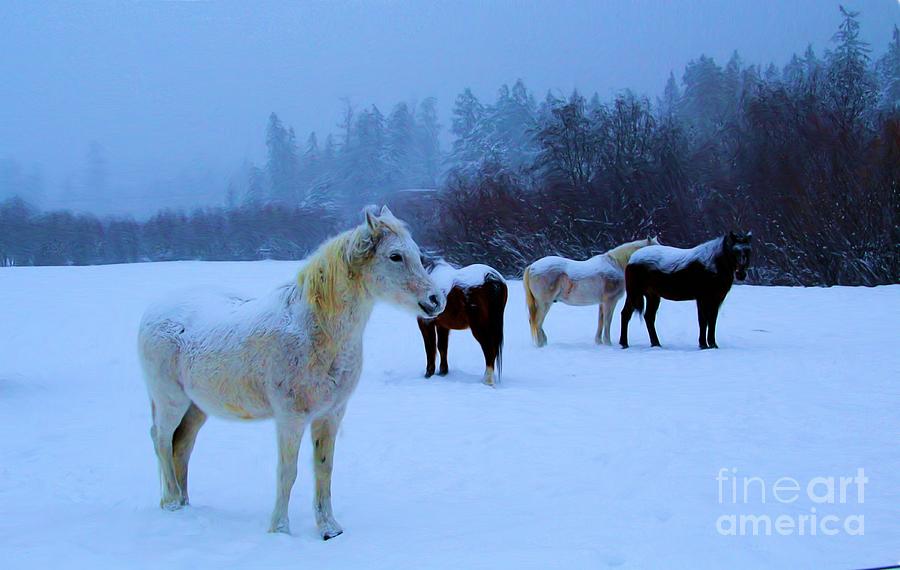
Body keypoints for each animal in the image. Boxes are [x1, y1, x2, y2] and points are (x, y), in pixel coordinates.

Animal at [139, 205, 444, 536]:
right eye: (395, 256)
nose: (435, 300)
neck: (313, 331)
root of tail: (155, 311)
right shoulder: (290, 418)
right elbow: (288, 472)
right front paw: (280, 529)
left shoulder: (330, 415)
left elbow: (324, 469)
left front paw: (329, 528)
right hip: (171, 400)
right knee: (161, 439)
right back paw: (172, 502)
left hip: (197, 407)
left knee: (181, 446)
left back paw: (184, 502)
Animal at [520, 236, 660, 346]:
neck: (616, 265)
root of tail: (532, 267)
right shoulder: (610, 301)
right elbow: (607, 321)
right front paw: (608, 343)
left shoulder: (602, 303)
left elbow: (601, 321)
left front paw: (599, 342)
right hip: (545, 304)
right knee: (537, 322)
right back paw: (541, 344)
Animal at [620, 230, 752, 346]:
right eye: (734, 251)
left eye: (748, 250)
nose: (741, 274)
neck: (712, 265)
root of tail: (632, 259)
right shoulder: (702, 299)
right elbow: (703, 321)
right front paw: (703, 344)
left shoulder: (716, 299)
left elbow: (712, 320)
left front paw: (713, 344)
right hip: (634, 293)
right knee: (626, 314)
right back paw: (624, 343)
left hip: (652, 296)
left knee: (649, 317)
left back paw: (656, 344)